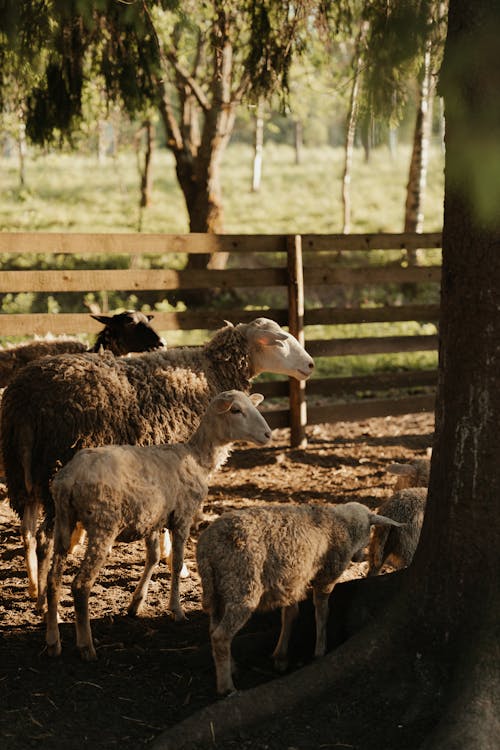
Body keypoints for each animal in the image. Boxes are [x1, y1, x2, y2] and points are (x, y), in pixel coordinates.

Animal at [0, 318, 312, 612]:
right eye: (280, 340)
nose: (310, 365)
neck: (209, 371)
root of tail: (25, 401)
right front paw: (177, 564)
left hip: (23, 475)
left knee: (28, 533)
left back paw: (32, 586)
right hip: (54, 467)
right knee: (44, 538)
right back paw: (43, 599)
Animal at [46, 390, 274, 660]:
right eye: (236, 410)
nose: (268, 434)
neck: (197, 458)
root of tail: (69, 478)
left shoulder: (153, 519)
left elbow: (153, 556)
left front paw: (136, 603)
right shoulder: (183, 516)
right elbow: (176, 562)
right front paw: (177, 610)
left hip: (63, 520)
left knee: (52, 579)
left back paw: (53, 641)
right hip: (103, 523)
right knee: (81, 585)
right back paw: (86, 646)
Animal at [196, 502, 402, 696]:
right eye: (369, 533)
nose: (361, 558)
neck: (341, 524)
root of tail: (207, 547)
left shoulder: (291, 581)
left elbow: (291, 614)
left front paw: (281, 656)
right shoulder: (326, 577)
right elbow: (322, 612)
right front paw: (320, 650)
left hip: (218, 590)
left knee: (213, 629)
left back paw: (231, 667)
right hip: (242, 584)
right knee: (221, 636)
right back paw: (227, 688)